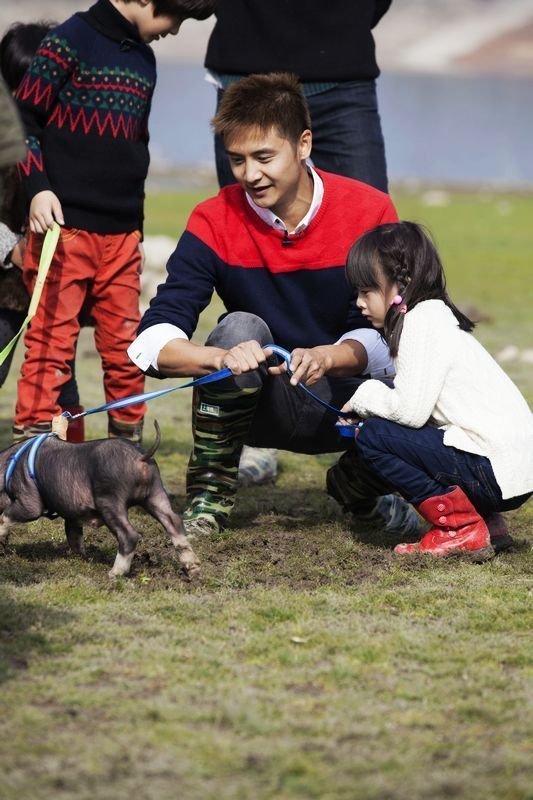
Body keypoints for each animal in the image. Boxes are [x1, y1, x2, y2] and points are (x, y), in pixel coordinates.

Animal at [0, 422, 198, 580]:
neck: (7, 467)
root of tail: (140, 457)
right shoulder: (73, 516)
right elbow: (74, 537)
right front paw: (81, 558)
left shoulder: (29, 501)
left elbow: (6, 516)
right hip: (155, 494)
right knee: (173, 521)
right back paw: (193, 568)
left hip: (110, 500)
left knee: (129, 534)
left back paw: (114, 573)